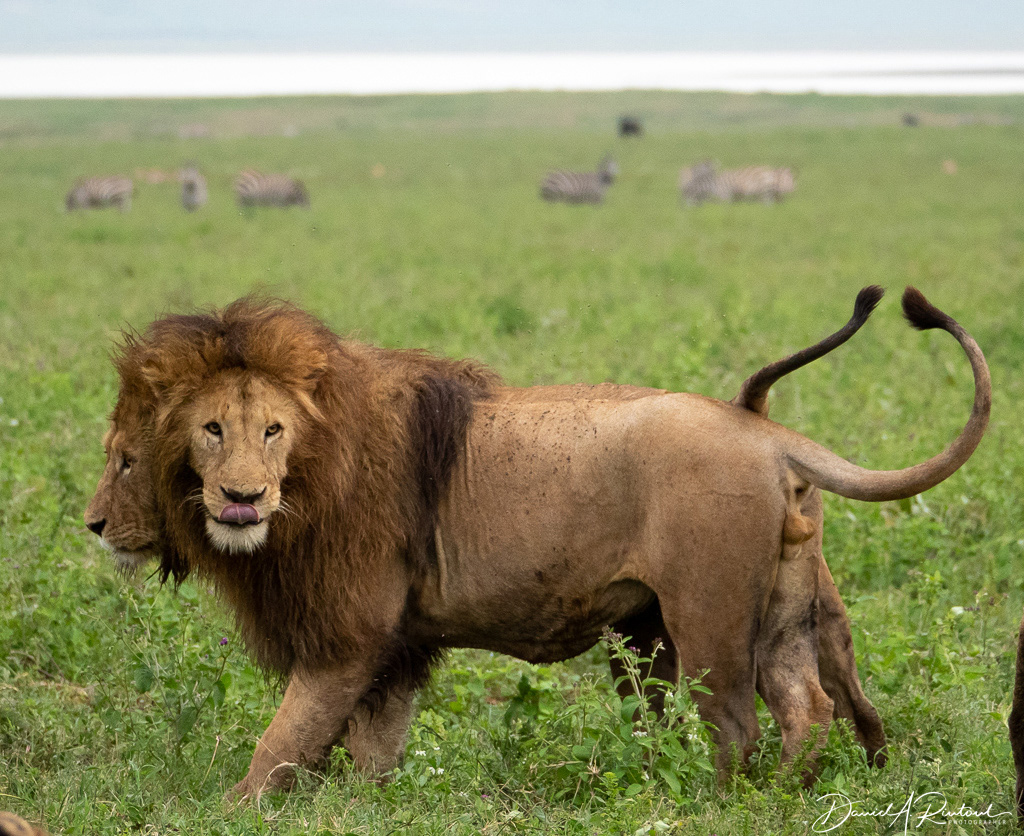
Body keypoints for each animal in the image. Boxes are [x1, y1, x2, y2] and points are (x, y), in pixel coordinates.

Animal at [117, 286, 987, 800]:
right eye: (209, 430)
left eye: (270, 430)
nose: (241, 497)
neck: (309, 469)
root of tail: (768, 436)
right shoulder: (399, 645)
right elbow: (374, 741)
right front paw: (368, 805)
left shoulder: (349, 633)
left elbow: (285, 739)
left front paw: (232, 810)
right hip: (784, 605)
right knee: (820, 704)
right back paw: (791, 794)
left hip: (707, 614)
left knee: (737, 723)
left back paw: (717, 802)